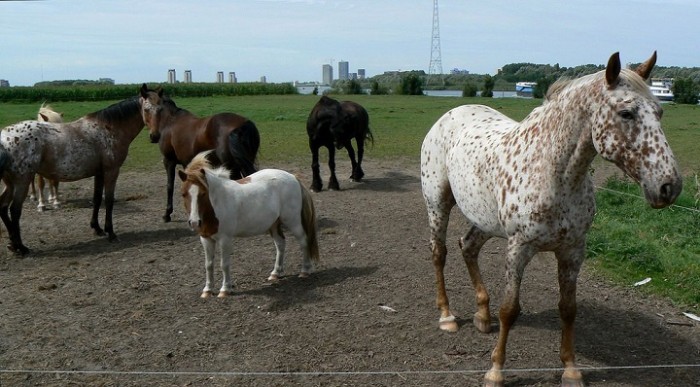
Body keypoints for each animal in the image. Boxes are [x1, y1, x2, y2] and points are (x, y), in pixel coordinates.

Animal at [0, 96, 145, 255]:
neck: (108, 129)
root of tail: (4, 139)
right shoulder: (111, 171)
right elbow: (109, 201)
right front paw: (111, 233)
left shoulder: (99, 173)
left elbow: (97, 199)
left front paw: (97, 228)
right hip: (22, 182)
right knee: (15, 210)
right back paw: (21, 247)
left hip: (10, 183)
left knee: (3, 206)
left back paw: (13, 244)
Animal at [139, 83, 260, 223]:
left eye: (147, 109)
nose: (154, 136)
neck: (169, 121)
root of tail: (242, 125)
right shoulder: (187, 163)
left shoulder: (168, 160)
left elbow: (170, 186)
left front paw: (167, 214)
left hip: (232, 168)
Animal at [178, 151, 320, 298]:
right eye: (183, 194)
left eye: (203, 193)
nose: (195, 222)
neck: (216, 203)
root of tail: (293, 177)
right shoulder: (206, 239)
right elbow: (208, 265)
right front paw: (207, 290)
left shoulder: (225, 239)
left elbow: (224, 264)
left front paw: (225, 289)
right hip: (274, 224)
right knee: (280, 244)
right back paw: (276, 273)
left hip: (293, 221)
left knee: (303, 241)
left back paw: (305, 271)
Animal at [418, 52, 680, 387]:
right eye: (626, 113)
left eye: (660, 112)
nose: (669, 187)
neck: (554, 173)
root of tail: (451, 113)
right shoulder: (518, 248)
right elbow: (510, 310)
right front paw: (496, 371)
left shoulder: (572, 251)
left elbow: (568, 309)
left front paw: (570, 368)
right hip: (438, 204)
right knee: (439, 253)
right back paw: (447, 316)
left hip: (485, 220)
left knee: (468, 247)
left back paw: (482, 315)